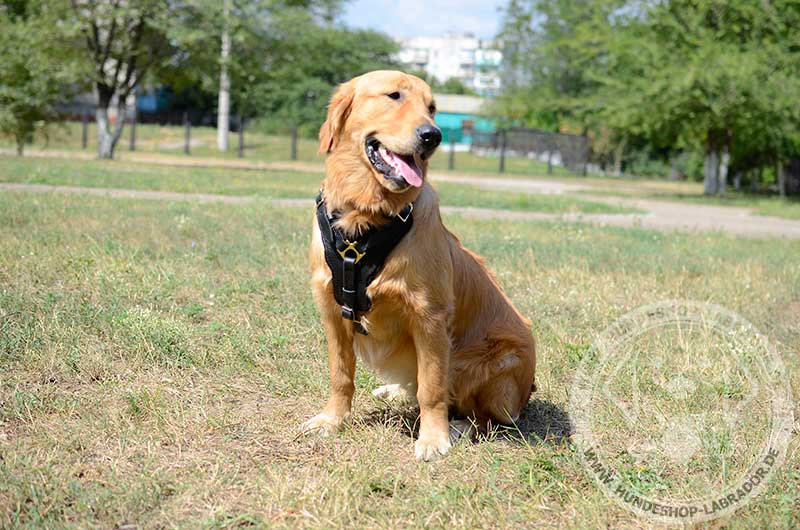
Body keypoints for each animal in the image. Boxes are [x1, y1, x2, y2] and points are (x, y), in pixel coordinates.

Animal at [304, 70, 536, 458]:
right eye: (394, 96)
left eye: (432, 107)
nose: (433, 136)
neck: (365, 219)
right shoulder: (331, 310)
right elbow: (341, 375)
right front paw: (332, 420)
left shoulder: (429, 317)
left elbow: (432, 388)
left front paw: (433, 438)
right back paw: (392, 391)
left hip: (492, 362)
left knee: (487, 420)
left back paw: (457, 427)